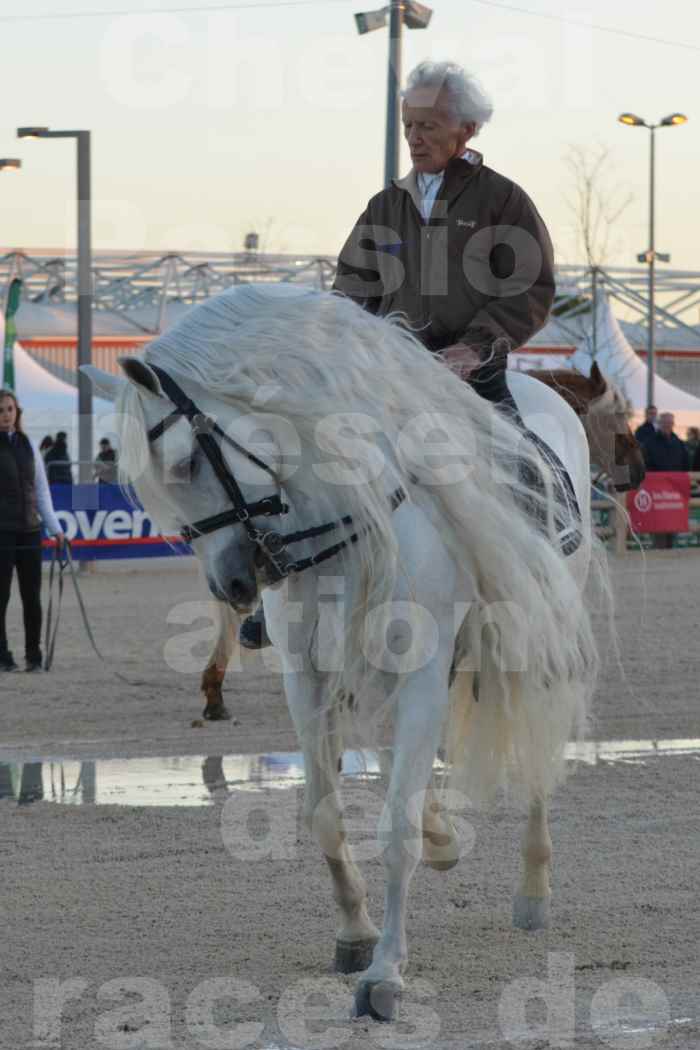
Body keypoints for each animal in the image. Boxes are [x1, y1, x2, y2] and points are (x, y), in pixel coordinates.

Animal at [85, 283, 604, 1020]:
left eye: (185, 462)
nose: (232, 585)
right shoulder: (308, 678)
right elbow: (327, 814)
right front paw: (357, 934)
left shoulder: (420, 673)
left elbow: (394, 828)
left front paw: (385, 973)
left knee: (532, 744)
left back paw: (533, 888)